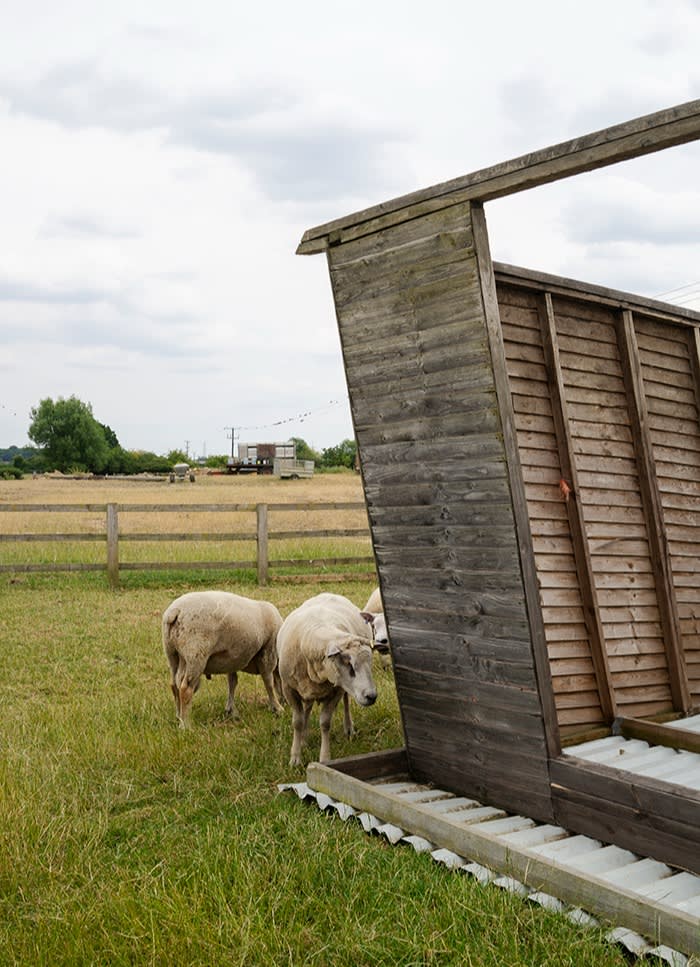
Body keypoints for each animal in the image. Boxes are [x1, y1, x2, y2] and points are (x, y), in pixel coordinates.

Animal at [163, 588, 284, 728]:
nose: (285, 700)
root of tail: (175, 611)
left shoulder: (232, 659)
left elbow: (232, 682)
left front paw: (230, 709)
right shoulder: (268, 652)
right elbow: (268, 682)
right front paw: (277, 707)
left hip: (173, 655)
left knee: (174, 685)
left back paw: (178, 716)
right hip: (195, 655)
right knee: (185, 689)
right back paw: (185, 725)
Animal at [278, 588, 378, 764]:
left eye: (370, 663)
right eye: (349, 664)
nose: (371, 696)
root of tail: (328, 592)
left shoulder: (335, 691)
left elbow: (325, 723)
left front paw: (324, 758)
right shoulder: (288, 688)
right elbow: (297, 722)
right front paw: (295, 757)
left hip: (343, 689)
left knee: (346, 702)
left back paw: (349, 728)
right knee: (307, 708)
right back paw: (304, 739)